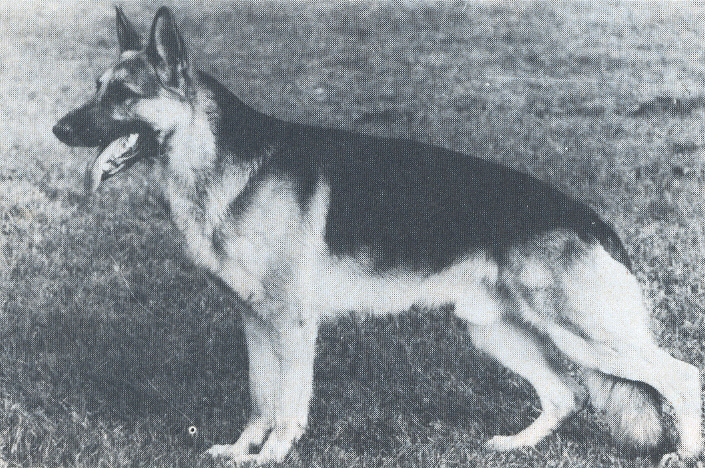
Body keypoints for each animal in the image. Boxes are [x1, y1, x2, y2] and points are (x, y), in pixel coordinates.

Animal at [53, 6, 702, 465]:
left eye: (123, 95)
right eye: (95, 86)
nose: (58, 129)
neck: (220, 163)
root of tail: (596, 220)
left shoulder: (291, 324)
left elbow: (287, 403)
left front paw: (273, 455)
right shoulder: (255, 322)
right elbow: (260, 396)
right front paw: (241, 451)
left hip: (587, 335)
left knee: (680, 376)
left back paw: (683, 453)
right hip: (495, 332)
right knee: (564, 392)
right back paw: (517, 446)